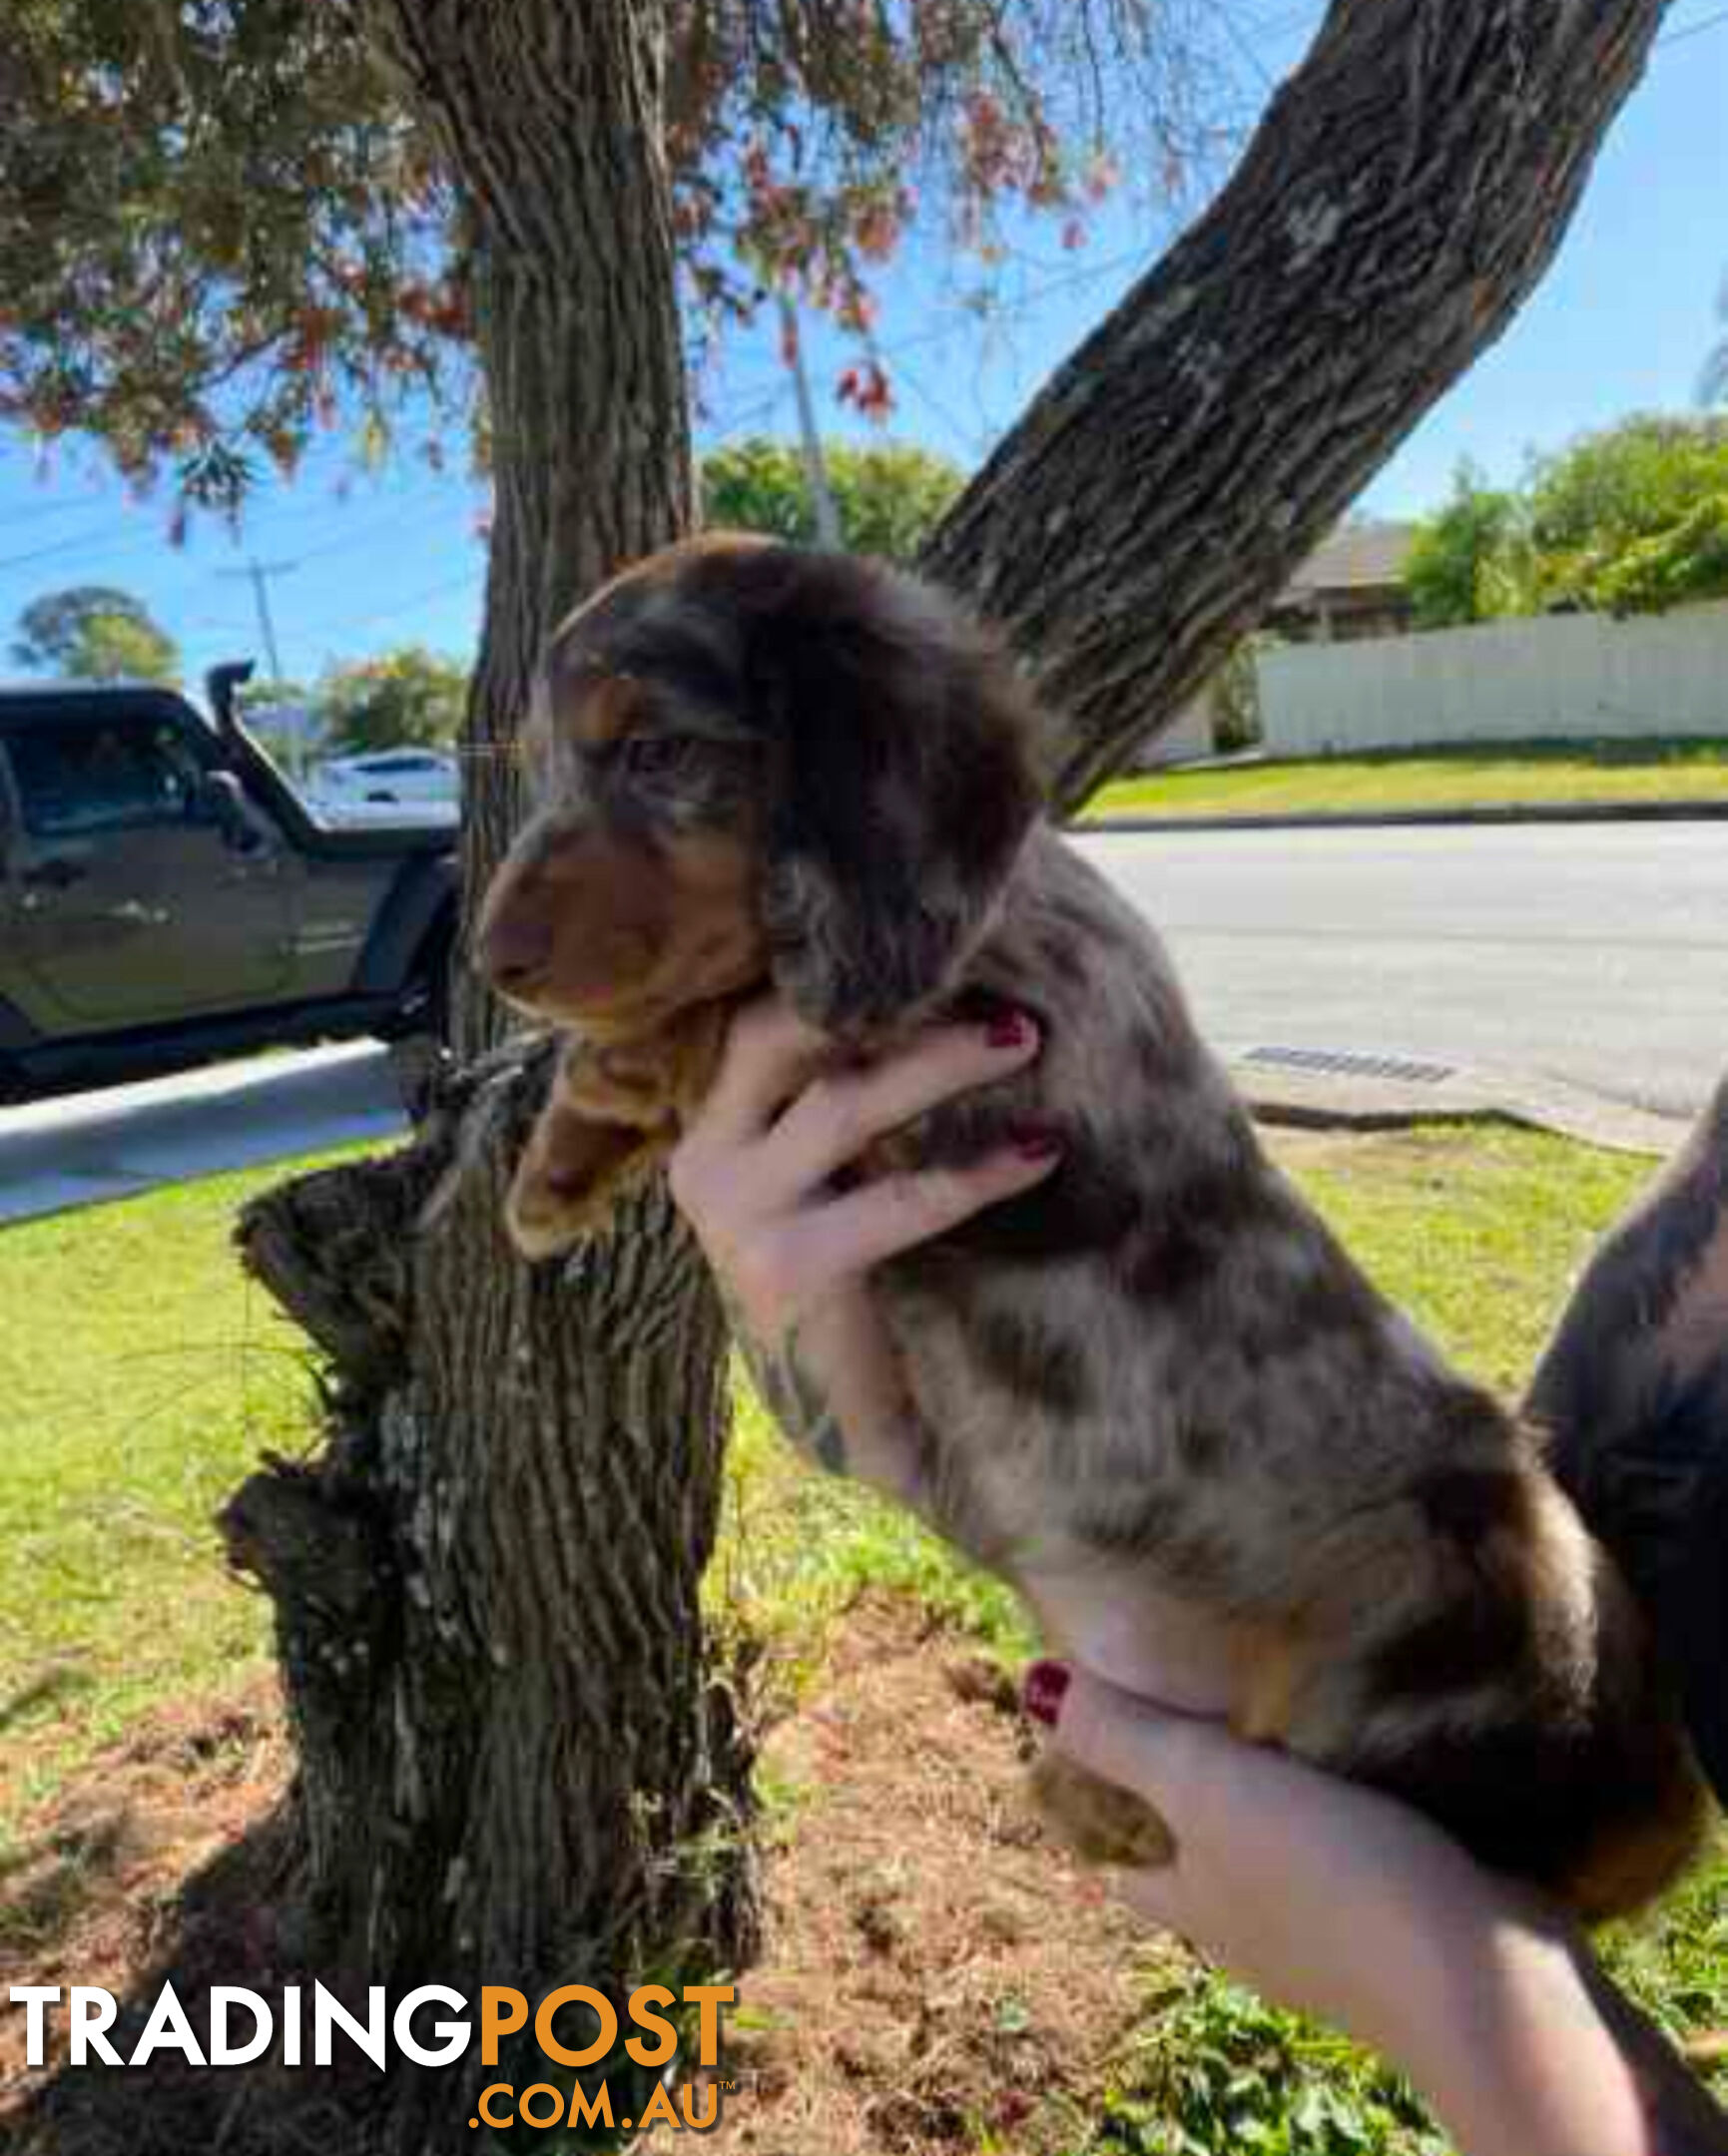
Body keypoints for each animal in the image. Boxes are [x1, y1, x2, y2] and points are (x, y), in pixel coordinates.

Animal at [472, 539, 1699, 1922]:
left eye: (657, 752)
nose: (492, 960)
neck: (992, 910)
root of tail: (1653, 1821)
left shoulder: (971, 1088)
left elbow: (734, 1003)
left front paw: (588, 1110)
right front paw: (557, 1170)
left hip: (1453, 1588)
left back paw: (1097, 1791)